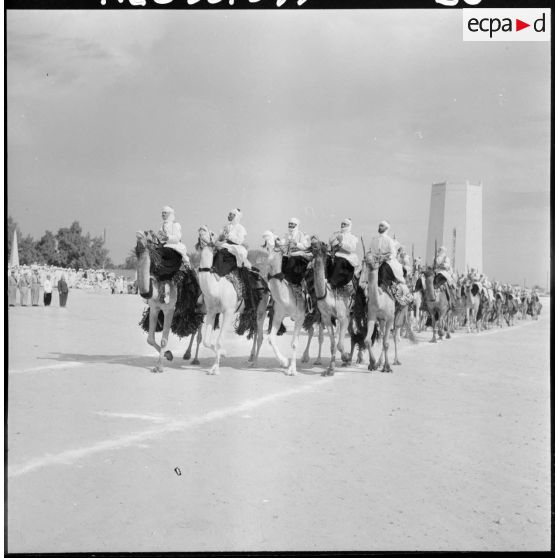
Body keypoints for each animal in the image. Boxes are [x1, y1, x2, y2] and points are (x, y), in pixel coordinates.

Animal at [264, 236, 308, 376]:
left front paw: (292, 370)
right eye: (268, 247)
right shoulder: (278, 314)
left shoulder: (300, 316)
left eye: (280, 241)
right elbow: (271, 338)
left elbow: (294, 343)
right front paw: (284, 362)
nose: (277, 239)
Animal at [308, 236, 352, 376]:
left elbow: (339, 345)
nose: (313, 239)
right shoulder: (327, 318)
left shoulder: (343, 317)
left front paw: (346, 357)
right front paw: (330, 369)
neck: (327, 295)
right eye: (312, 247)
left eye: (323, 244)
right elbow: (333, 344)